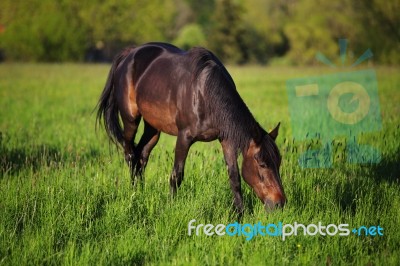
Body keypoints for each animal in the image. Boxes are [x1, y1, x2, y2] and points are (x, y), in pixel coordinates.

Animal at [96, 42, 284, 213]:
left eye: (279, 162)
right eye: (262, 164)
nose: (279, 203)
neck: (204, 94)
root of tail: (130, 54)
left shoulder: (226, 139)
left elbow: (234, 177)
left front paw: (240, 213)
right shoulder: (184, 137)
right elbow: (176, 175)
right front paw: (171, 207)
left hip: (153, 128)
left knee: (141, 155)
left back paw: (141, 190)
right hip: (131, 120)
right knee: (129, 154)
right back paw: (134, 193)